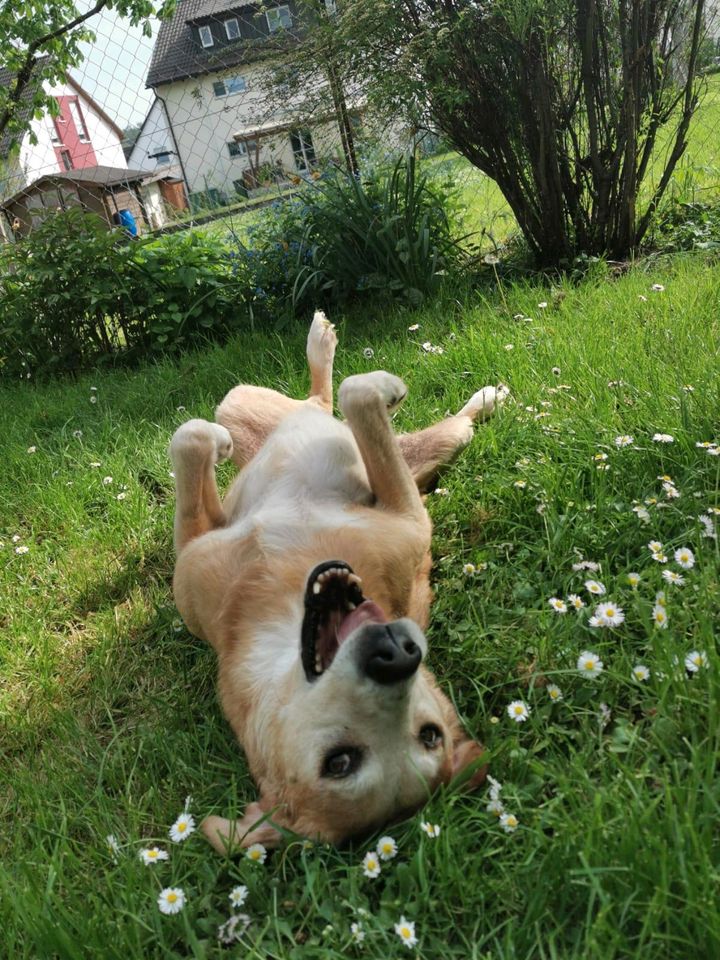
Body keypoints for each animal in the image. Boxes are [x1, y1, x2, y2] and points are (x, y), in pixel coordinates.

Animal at [169, 312, 506, 852]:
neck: (280, 591)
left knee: (341, 406)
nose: (398, 653)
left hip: (413, 447)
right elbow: (191, 439)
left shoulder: (407, 517)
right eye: (340, 762)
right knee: (325, 407)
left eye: (429, 734)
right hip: (247, 405)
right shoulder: (196, 551)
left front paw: (384, 388)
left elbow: (355, 396)